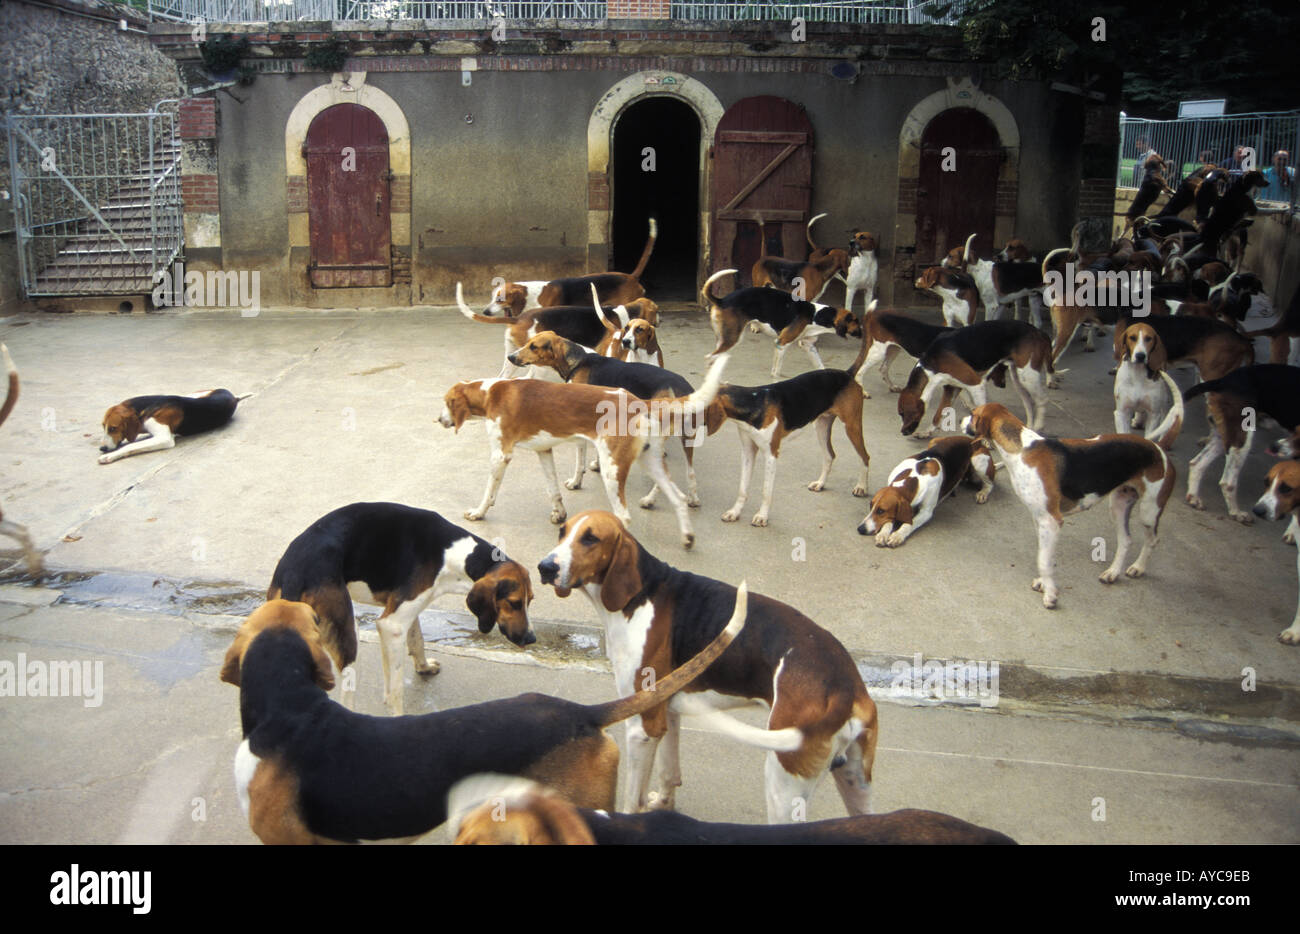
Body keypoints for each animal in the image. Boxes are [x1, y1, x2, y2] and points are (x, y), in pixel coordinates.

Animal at [266, 504, 535, 718]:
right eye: (514, 603)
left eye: (530, 600)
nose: (531, 638)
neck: (453, 554)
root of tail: (294, 574)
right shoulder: (392, 626)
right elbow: (394, 691)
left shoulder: (408, 609)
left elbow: (417, 640)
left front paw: (424, 667)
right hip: (348, 637)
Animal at [863, 437, 993, 548]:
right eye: (870, 506)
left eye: (881, 511)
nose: (861, 529)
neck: (914, 478)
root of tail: (972, 439)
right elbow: (888, 521)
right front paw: (883, 534)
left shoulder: (926, 512)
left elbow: (909, 524)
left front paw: (897, 535)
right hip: (934, 441)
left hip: (978, 463)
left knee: (990, 484)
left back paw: (983, 493)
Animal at [961, 385, 1185, 611]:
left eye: (973, 414)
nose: (961, 421)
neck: (1021, 449)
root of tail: (1159, 448)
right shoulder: (1039, 519)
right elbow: (1046, 556)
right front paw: (1045, 584)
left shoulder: (1050, 521)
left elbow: (1043, 561)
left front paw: (1051, 595)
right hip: (1118, 506)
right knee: (1126, 540)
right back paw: (1112, 573)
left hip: (1149, 511)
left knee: (1152, 540)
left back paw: (1138, 567)